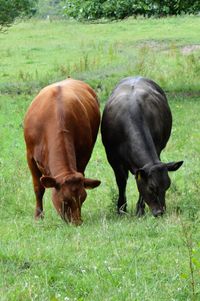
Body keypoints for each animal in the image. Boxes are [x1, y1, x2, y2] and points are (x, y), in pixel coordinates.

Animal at [24, 78, 101, 224]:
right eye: (65, 201)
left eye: (83, 199)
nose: (77, 223)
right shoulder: (30, 156)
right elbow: (38, 188)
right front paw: (38, 217)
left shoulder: (83, 156)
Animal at [101, 76, 183, 217]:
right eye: (151, 187)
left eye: (167, 186)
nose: (160, 212)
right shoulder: (113, 157)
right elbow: (121, 181)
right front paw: (121, 209)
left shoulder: (156, 149)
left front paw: (140, 209)